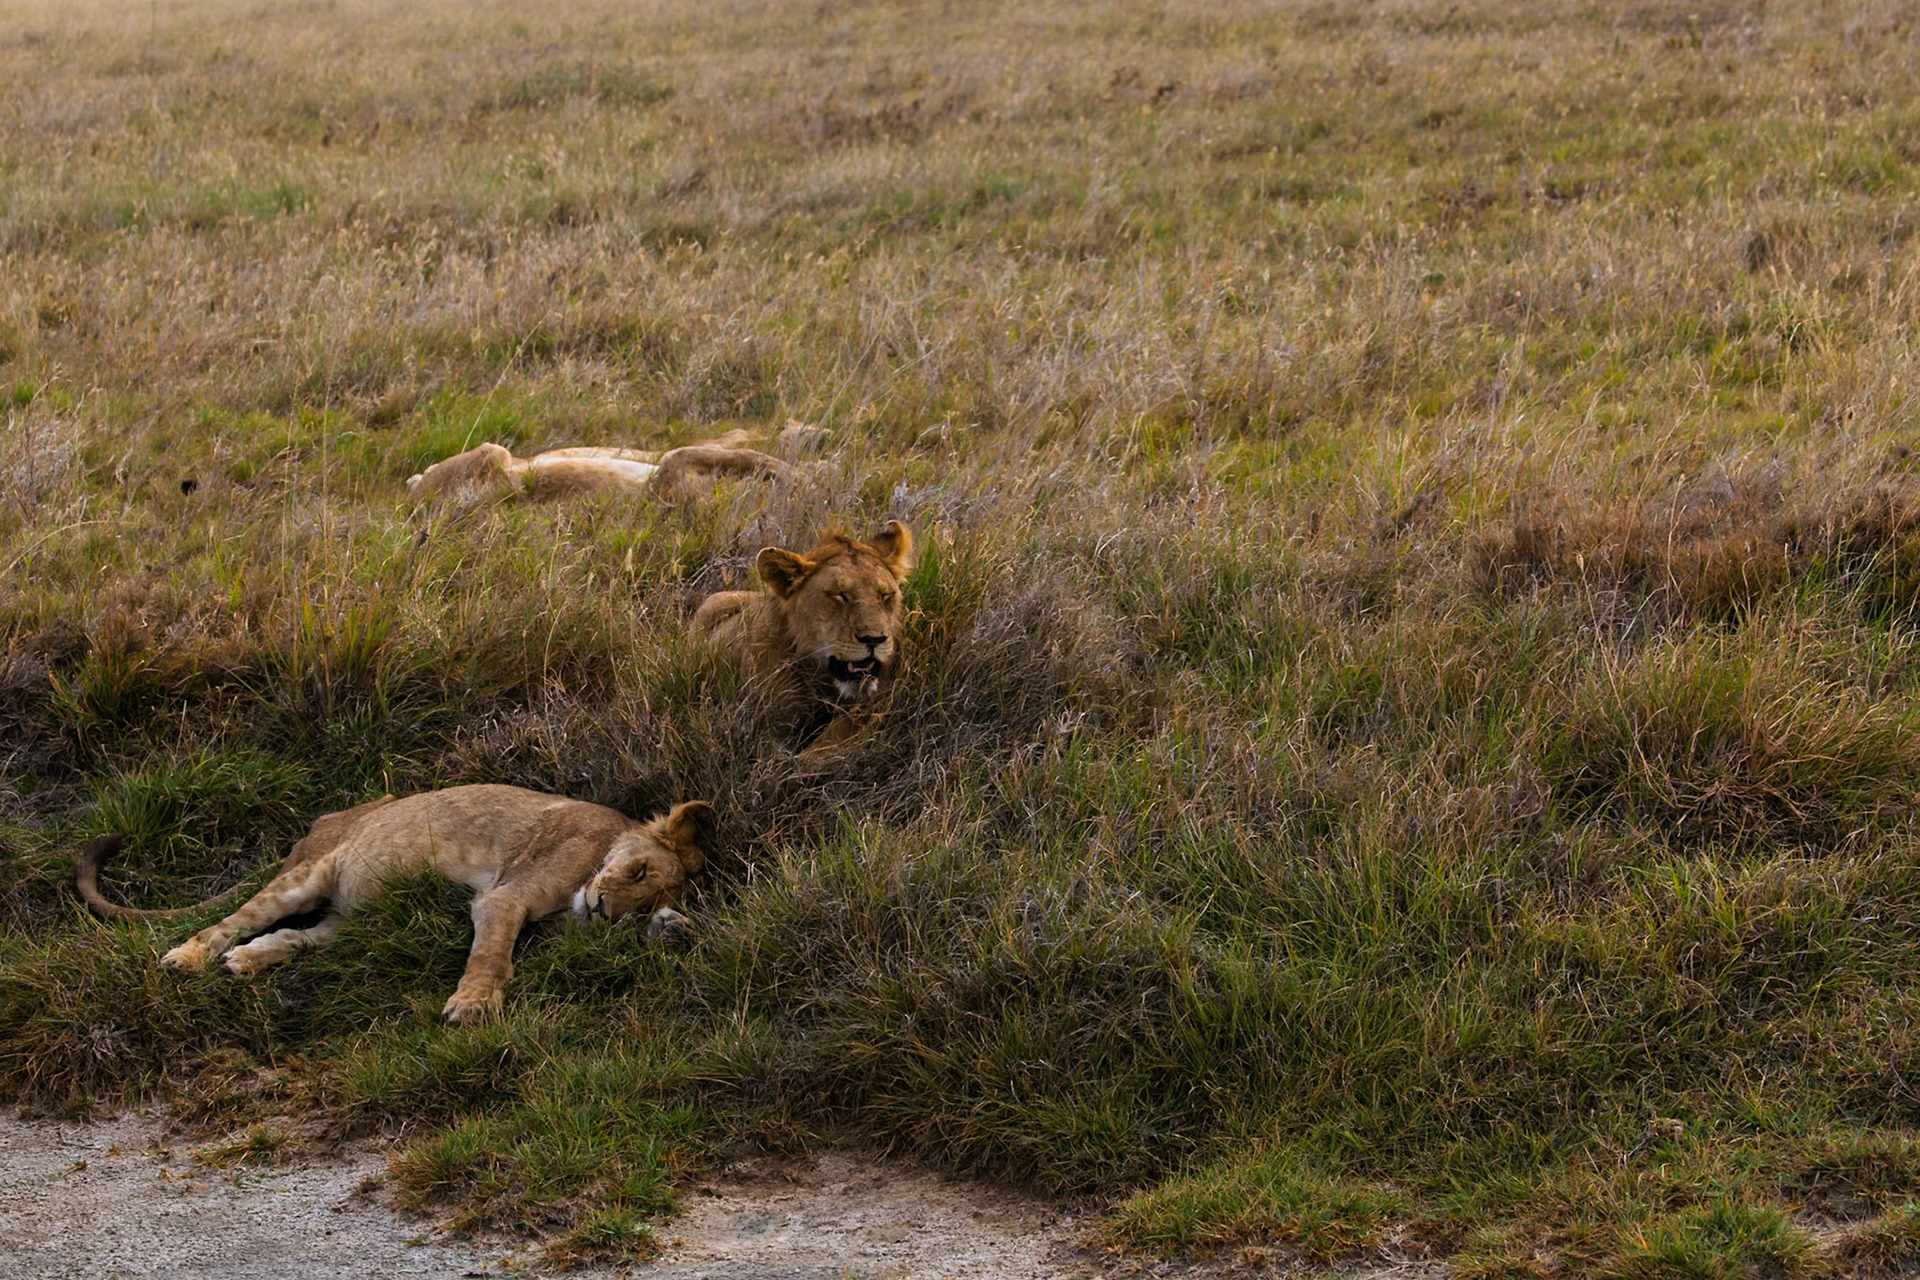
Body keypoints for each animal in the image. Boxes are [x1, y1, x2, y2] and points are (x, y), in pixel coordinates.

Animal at [75, 786, 715, 1024]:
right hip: (307, 876)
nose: (605, 909)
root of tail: (316, 826)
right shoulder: (504, 896)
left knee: (292, 937)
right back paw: (186, 959)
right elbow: (492, 955)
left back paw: (245, 965)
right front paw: (472, 1005)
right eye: (637, 871)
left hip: (348, 923)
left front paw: (673, 929)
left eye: (640, 905)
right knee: (229, 924)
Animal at [692, 520, 913, 749]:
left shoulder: (876, 701)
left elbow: (837, 735)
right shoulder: (767, 724)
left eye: (885, 595)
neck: (821, 680)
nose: (874, 639)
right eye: (840, 595)